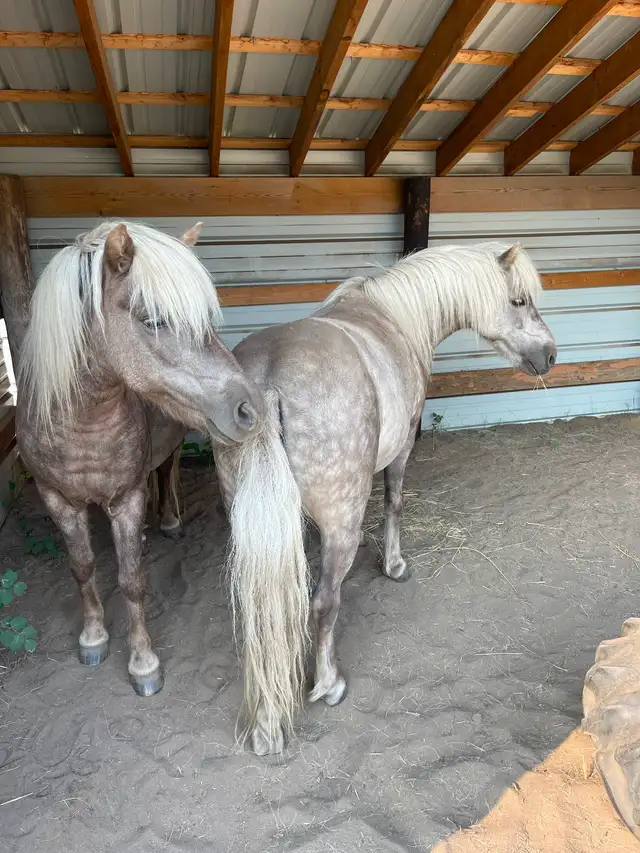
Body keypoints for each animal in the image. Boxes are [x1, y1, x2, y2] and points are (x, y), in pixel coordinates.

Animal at [16, 220, 264, 696]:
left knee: (165, 472)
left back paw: (167, 521)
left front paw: (143, 663)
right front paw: (93, 637)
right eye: (152, 321)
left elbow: (132, 580)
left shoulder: (126, 499)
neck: (82, 426)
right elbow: (82, 567)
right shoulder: (57, 499)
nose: (250, 410)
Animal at [213, 242, 557, 755]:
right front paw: (394, 564)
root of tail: (267, 384)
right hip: (341, 515)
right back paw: (328, 684)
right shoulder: (402, 448)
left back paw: (268, 724)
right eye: (518, 300)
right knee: (324, 602)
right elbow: (394, 503)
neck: (393, 316)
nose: (550, 353)